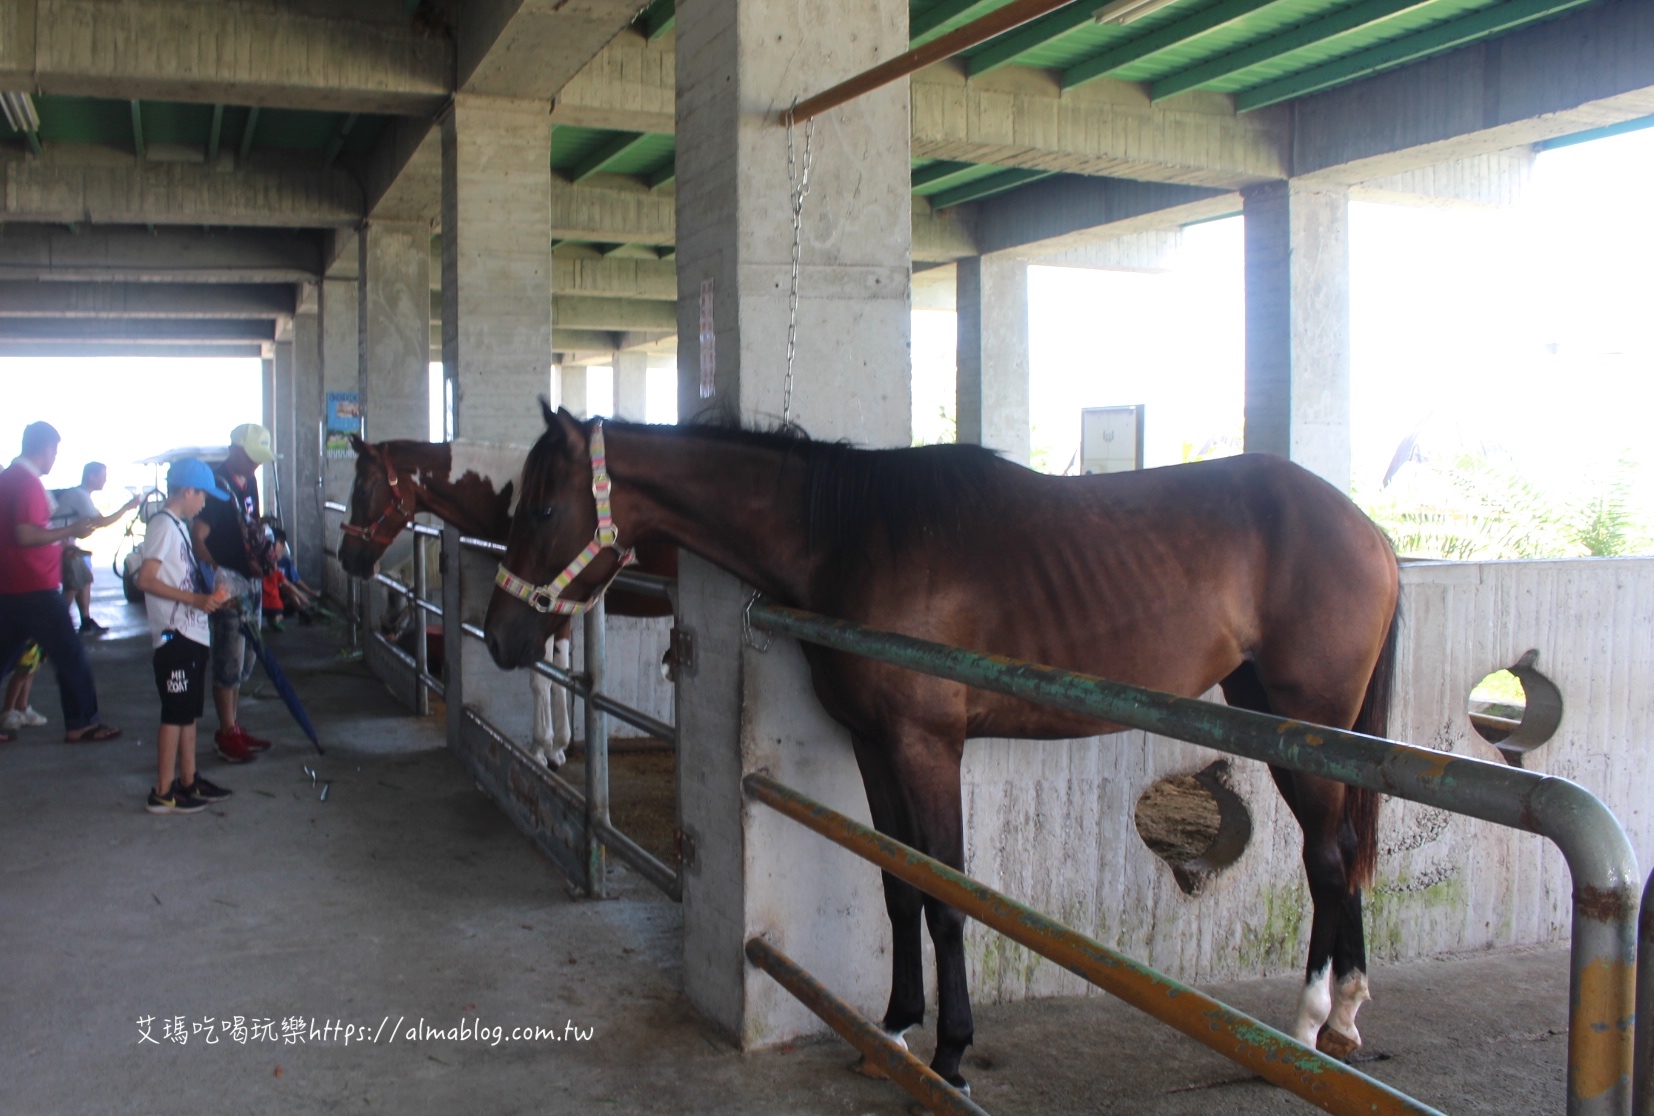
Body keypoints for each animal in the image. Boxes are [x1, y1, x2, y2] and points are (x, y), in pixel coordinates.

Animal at [482, 410, 1402, 1091]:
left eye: (540, 510)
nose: (500, 637)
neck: (848, 535)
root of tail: (1369, 531)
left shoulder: (927, 749)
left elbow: (948, 897)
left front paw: (952, 1054)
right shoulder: (872, 746)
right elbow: (899, 887)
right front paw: (892, 1028)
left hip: (1306, 728)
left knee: (1327, 858)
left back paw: (1307, 1026)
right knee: (1338, 852)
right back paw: (1348, 1012)